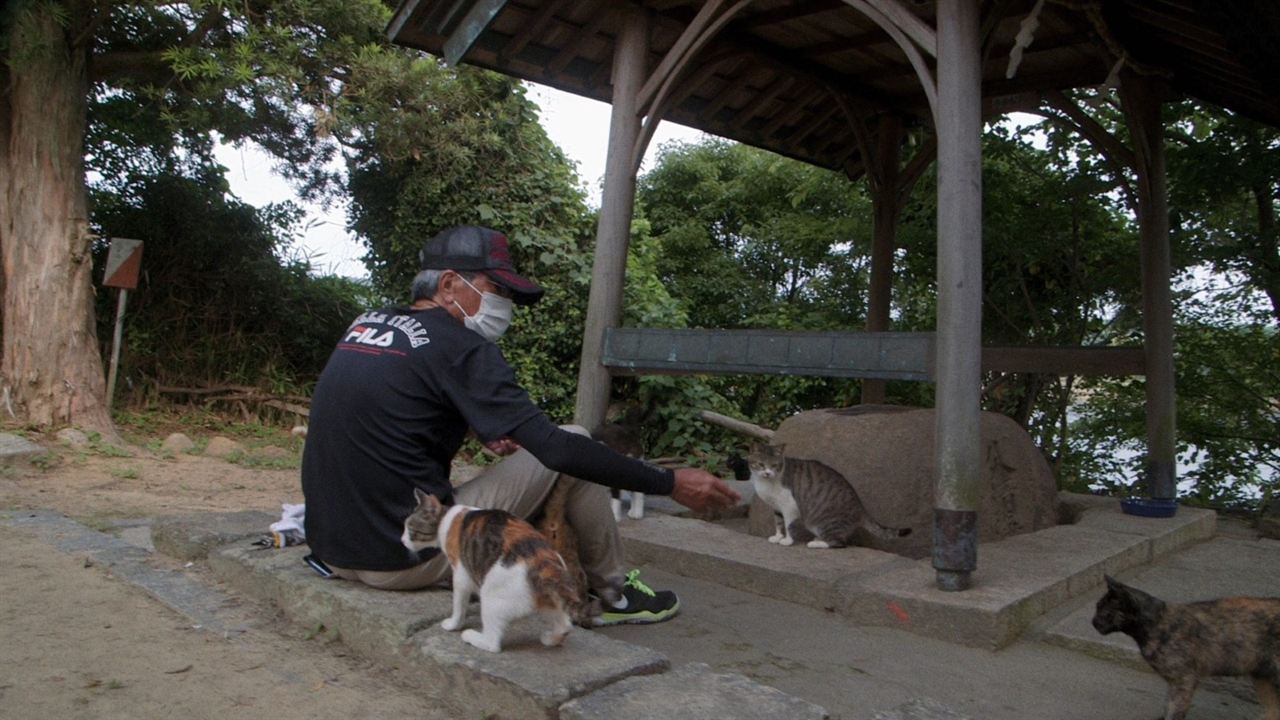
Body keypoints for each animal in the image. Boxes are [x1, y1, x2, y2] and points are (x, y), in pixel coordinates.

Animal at [399, 486, 576, 650]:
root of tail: (544, 564)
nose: (401, 540)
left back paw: (471, 636)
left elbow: (459, 605)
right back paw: (550, 639)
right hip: (549, 601)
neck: (447, 519)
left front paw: (453, 625)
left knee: (493, 643)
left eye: (409, 529)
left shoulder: (461, 575)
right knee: (566, 625)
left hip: (491, 597)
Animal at [732, 440, 911, 545]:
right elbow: (778, 522)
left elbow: (788, 525)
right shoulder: (776, 507)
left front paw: (787, 540)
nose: (768, 473)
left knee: (838, 543)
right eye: (761, 464)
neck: (767, 482)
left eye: (775, 465)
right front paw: (777, 537)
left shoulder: (789, 505)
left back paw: (816, 543)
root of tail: (861, 508)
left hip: (821, 521)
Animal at [1090, 573, 1280, 717]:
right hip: (1263, 678)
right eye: (1097, 606)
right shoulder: (1174, 681)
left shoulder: (1184, 679)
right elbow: (1167, 705)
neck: (1158, 622)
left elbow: (1174, 710)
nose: (1093, 622)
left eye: (1103, 611)